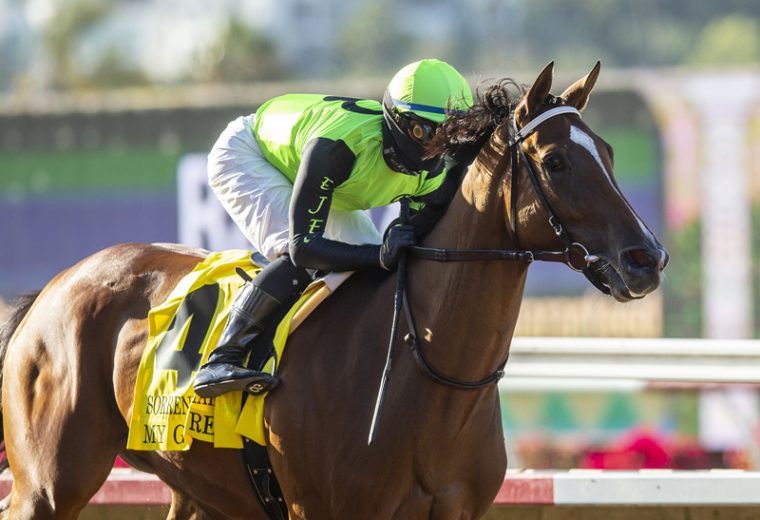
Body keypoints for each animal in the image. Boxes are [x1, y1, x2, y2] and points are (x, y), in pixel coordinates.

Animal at [0, 63, 664, 516]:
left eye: (607, 152)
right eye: (555, 163)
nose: (647, 259)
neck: (430, 374)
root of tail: (53, 288)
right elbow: (300, 246)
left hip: (198, 489)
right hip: (48, 486)